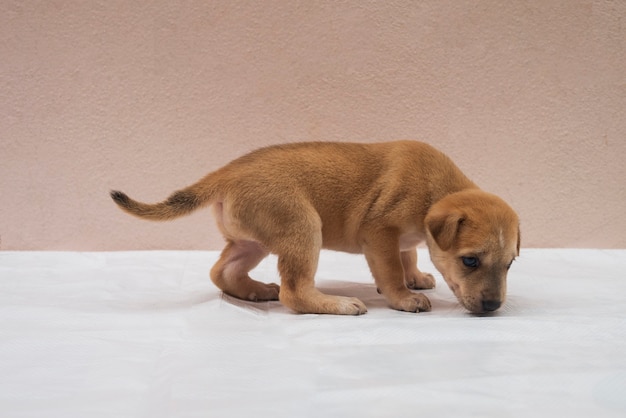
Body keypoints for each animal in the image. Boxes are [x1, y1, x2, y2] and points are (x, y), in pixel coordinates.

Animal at [111, 140, 516, 314]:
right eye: (469, 261)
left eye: (510, 263)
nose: (494, 306)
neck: (438, 190)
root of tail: (226, 173)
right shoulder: (380, 233)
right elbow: (390, 270)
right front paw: (404, 296)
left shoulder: (405, 238)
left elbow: (409, 254)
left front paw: (415, 277)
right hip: (303, 229)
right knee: (295, 293)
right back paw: (336, 303)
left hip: (252, 241)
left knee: (221, 271)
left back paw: (256, 291)